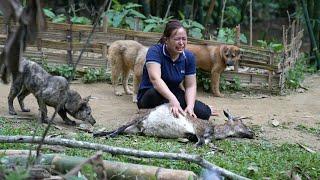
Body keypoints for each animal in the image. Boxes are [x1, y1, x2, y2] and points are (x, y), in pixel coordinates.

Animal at [94, 102, 254, 146]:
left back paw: (99, 133)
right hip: (137, 119)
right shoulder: (199, 128)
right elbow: (201, 141)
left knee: (121, 129)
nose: (252, 134)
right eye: (243, 124)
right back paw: (108, 135)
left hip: (134, 129)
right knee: (120, 128)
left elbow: (203, 141)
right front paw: (196, 146)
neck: (214, 130)